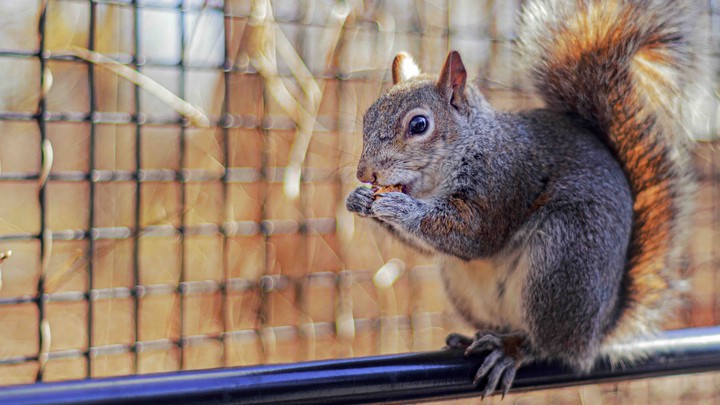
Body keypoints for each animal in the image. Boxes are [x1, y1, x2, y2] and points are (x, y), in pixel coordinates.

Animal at [345, 0, 704, 398]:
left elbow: (473, 236)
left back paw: (512, 349)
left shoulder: (506, 180)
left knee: (548, 345)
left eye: (419, 125)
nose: (365, 174)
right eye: (368, 117)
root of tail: (596, 334)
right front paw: (359, 200)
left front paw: (399, 208)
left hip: (564, 258)